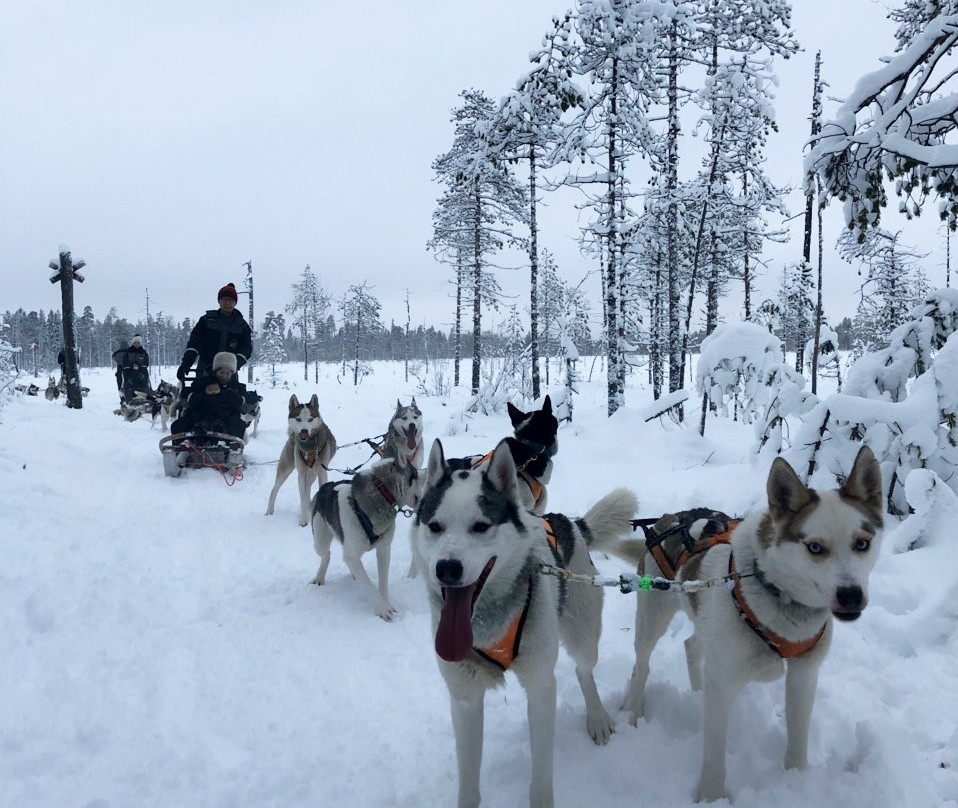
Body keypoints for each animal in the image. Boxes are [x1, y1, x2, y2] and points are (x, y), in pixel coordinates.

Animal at [266, 394, 338, 528]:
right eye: (298, 419)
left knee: (308, 490)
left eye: (310, 419)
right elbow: (303, 498)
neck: (309, 448)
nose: (304, 431)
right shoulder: (301, 475)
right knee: (275, 489)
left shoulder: (322, 473)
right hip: (286, 468)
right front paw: (304, 520)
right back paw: (270, 510)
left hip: (312, 474)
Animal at [312, 458, 420, 620]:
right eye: (416, 475)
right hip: (320, 540)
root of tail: (326, 486)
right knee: (326, 555)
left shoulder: (383, 550)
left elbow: (382, 581)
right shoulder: (351, 554)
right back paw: (320, 577)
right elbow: (368, 584)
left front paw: (385, 601)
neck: (382, 493)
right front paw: (382, 608)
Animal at [410, 436, 636, 808]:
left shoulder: (541, 689)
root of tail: (569, 523)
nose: (447, 568)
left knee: (583, 670)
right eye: (434, 526)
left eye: (481, 526)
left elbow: (541, 783)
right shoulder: (465, 699)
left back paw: (597, 718)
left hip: (583, 635)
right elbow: (469, 788)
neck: (489, 623)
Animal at [624, 446, 884, 804]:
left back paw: (695, 691)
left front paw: (797, 784)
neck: (777, 594)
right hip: (653, 618)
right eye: (815, 547)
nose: (851, 595)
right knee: (642, 664)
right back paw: (632, 711)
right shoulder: (724, 683)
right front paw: (711, 798)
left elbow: (797, 741)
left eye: (862, 543)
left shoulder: (804, 675)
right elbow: (714, 757)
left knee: (691, 646)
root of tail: (668, 518)